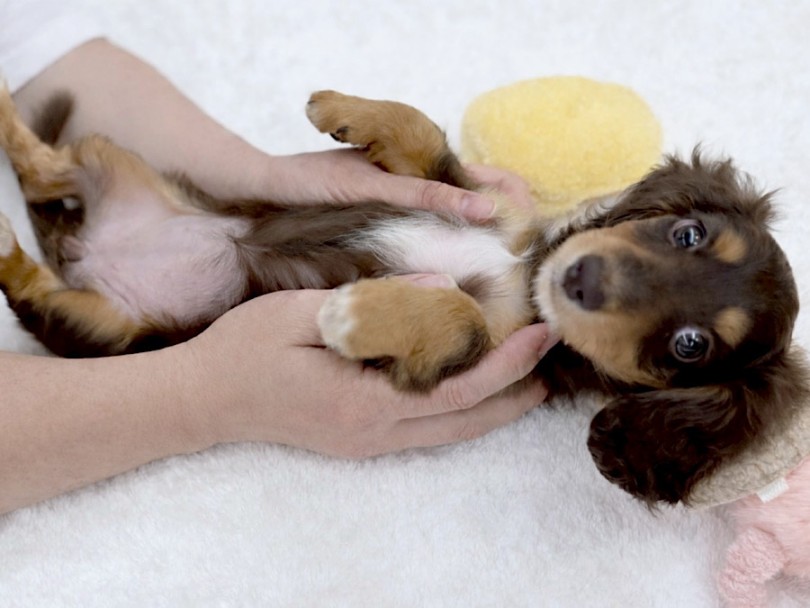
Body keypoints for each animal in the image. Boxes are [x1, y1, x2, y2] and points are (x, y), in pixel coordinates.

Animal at [0, 84, 807, 505]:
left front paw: (357, 312)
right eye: (688, 233)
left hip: (102, 326)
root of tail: (87, 251)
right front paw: (339, 109)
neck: (525, 272)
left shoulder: (489, 350)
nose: (580, 279)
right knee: (47, 167)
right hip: (114, 161)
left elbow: (458, 316)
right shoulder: (475, 202)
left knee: (30, 273)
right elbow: (423, 139)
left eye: (691, 346)